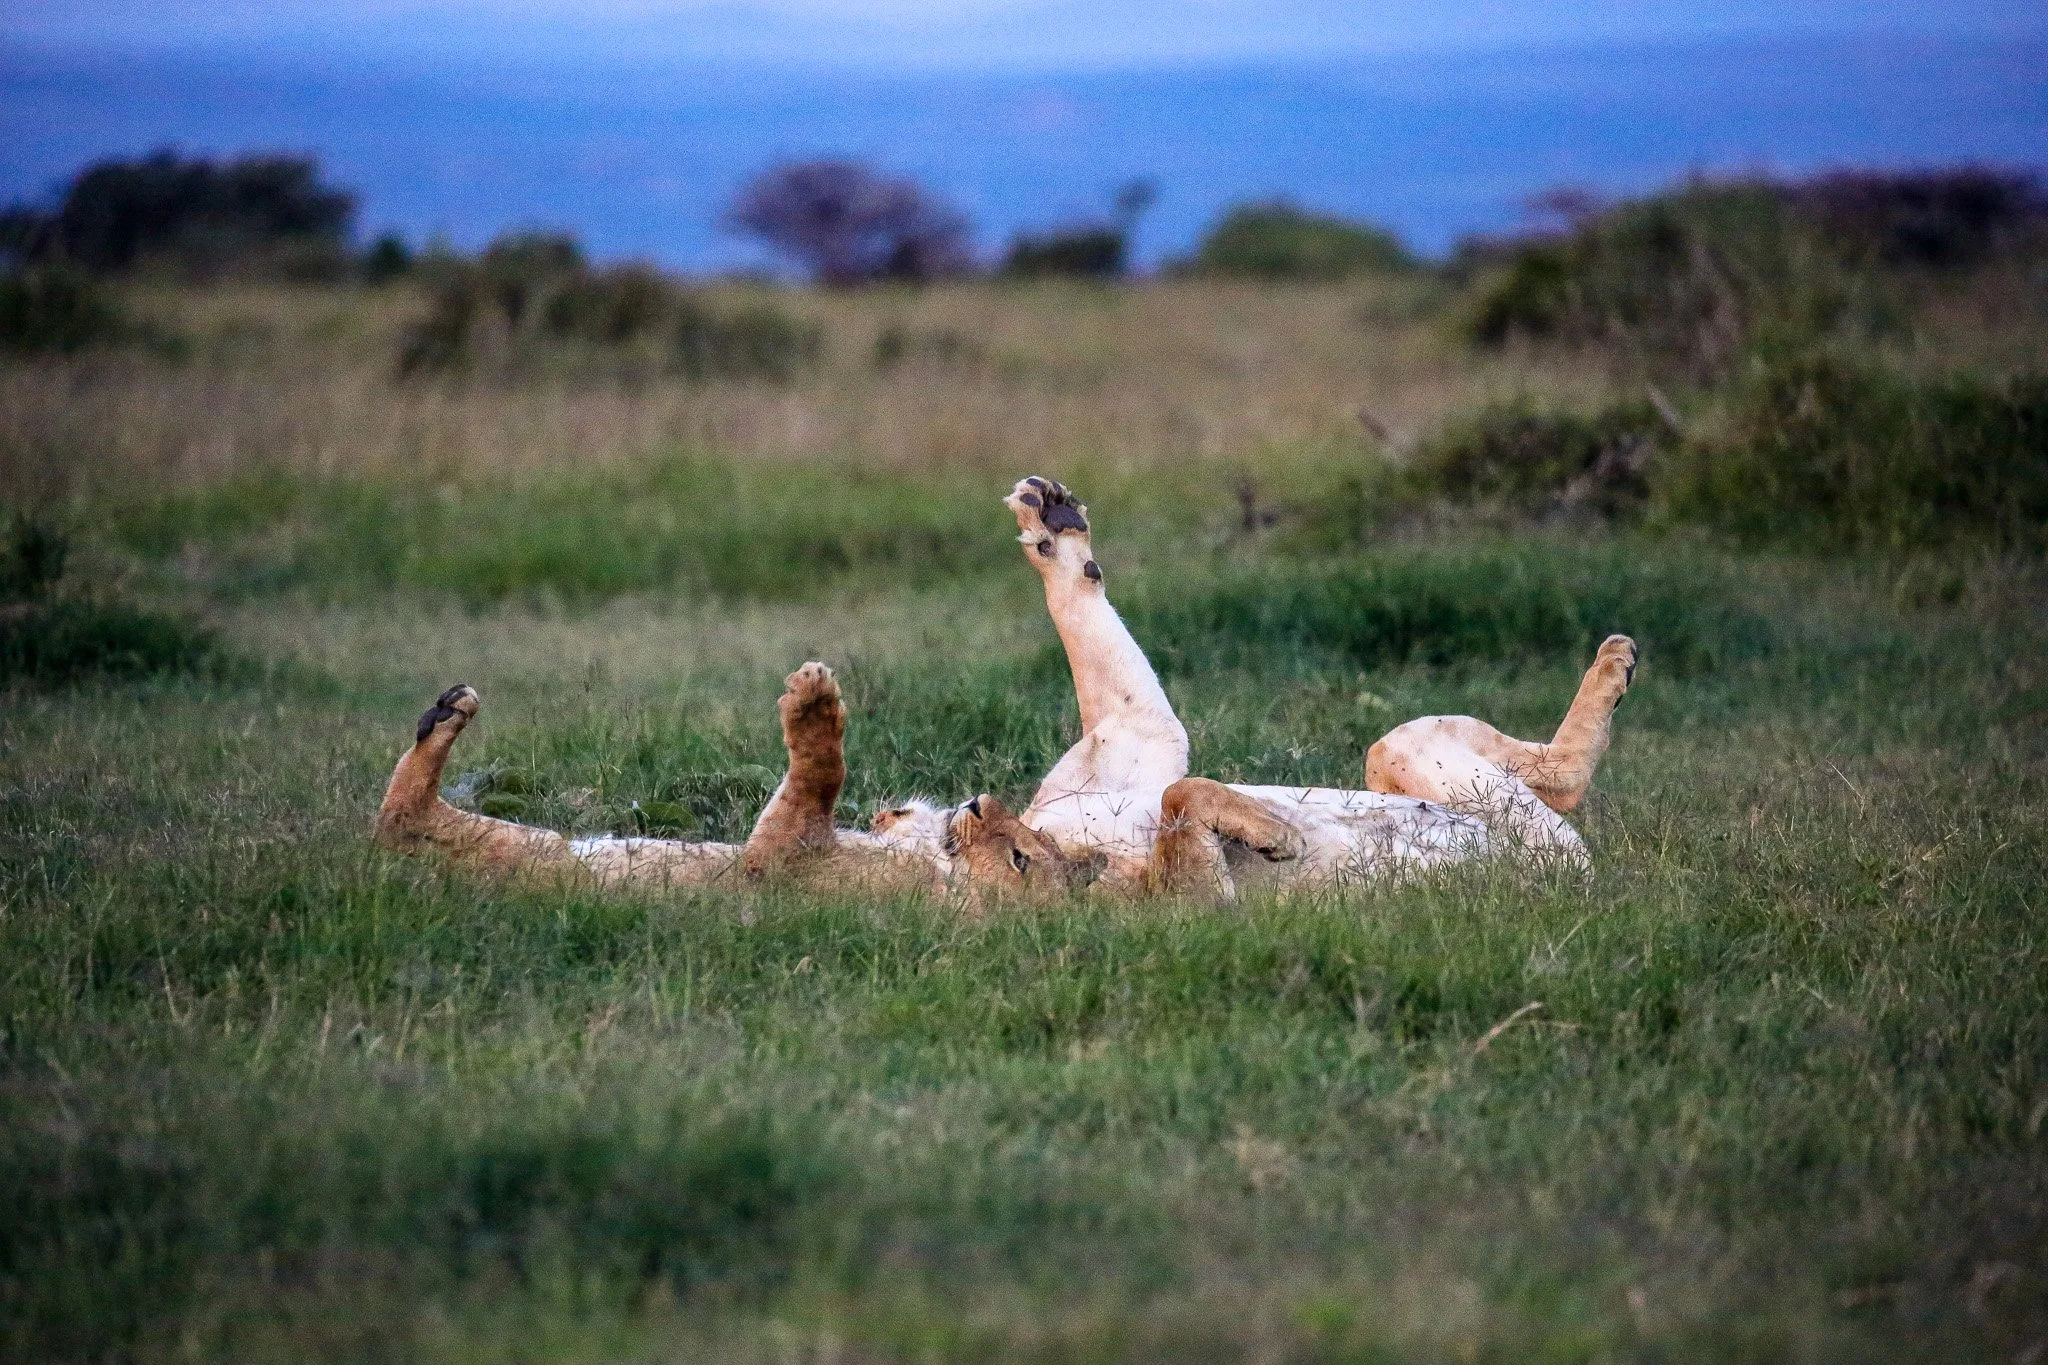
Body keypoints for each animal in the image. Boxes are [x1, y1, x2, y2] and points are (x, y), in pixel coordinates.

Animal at [1001, 476, 1637, 897]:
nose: (976, 807)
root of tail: (1572, 878)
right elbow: (1182, 804)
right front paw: (1275, 839)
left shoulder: (1123, 748)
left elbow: (1091, 628)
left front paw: (1051, 519)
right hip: (1522, 823)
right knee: (1564, 783)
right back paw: (1615, 661)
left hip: (1408, 756)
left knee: (1555, 769)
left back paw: (1617, 660)